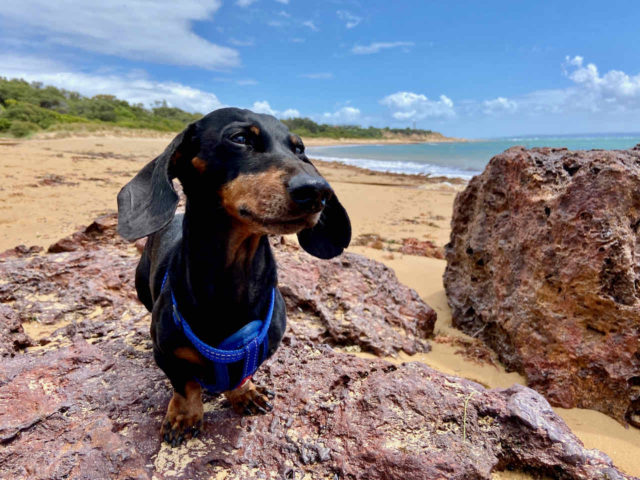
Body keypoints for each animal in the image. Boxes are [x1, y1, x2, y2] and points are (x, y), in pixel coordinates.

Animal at [117, 108, 352, 446]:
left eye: (299, 148)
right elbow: (185, 384)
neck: (232, 277)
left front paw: (245, 394)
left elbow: (243, 375)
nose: (318, 191)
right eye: (240, 138)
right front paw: (184, 416)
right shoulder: (164, 352)